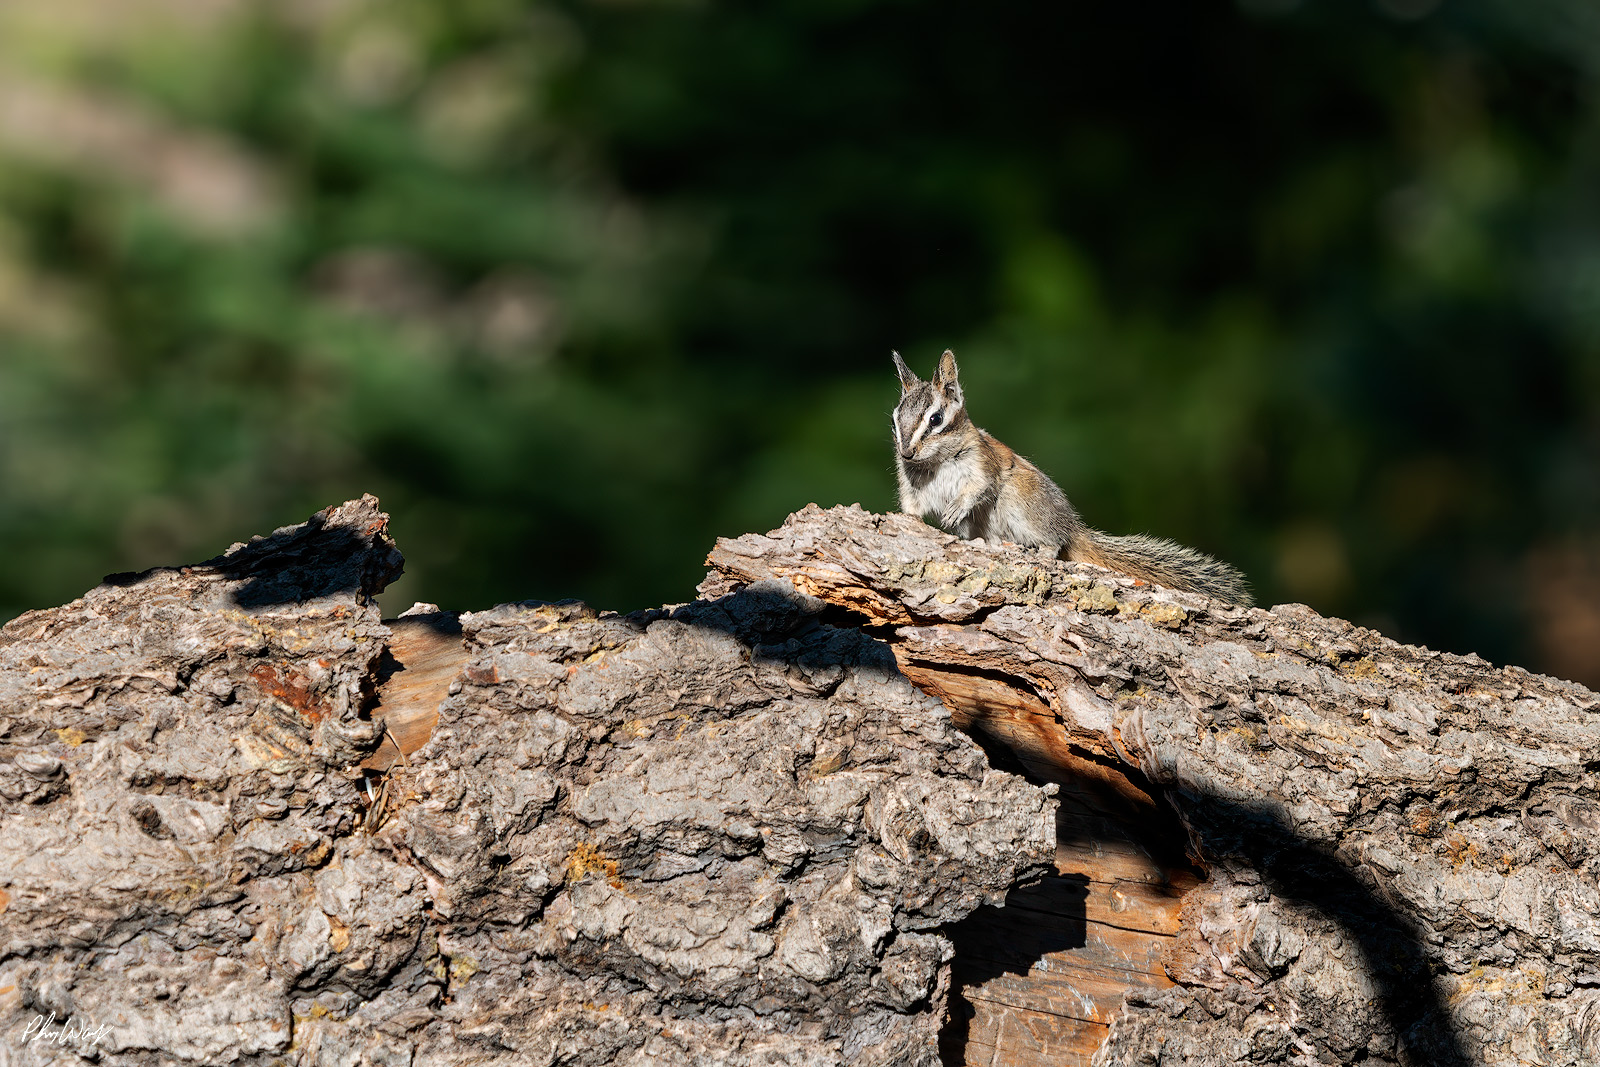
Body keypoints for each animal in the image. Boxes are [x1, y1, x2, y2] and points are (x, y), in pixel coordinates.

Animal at [891, 349, 1252, 606]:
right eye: (895, 418)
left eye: (936, 419)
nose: (906, 452)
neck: (934, 462)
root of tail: (1074, 527)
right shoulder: (912, 485)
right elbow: (912, 507)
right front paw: (904, 520)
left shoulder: (983, 464)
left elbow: (979, 487)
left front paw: (956, 507)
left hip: (1023, 504)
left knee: (1056, 542)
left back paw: (1040, 550)